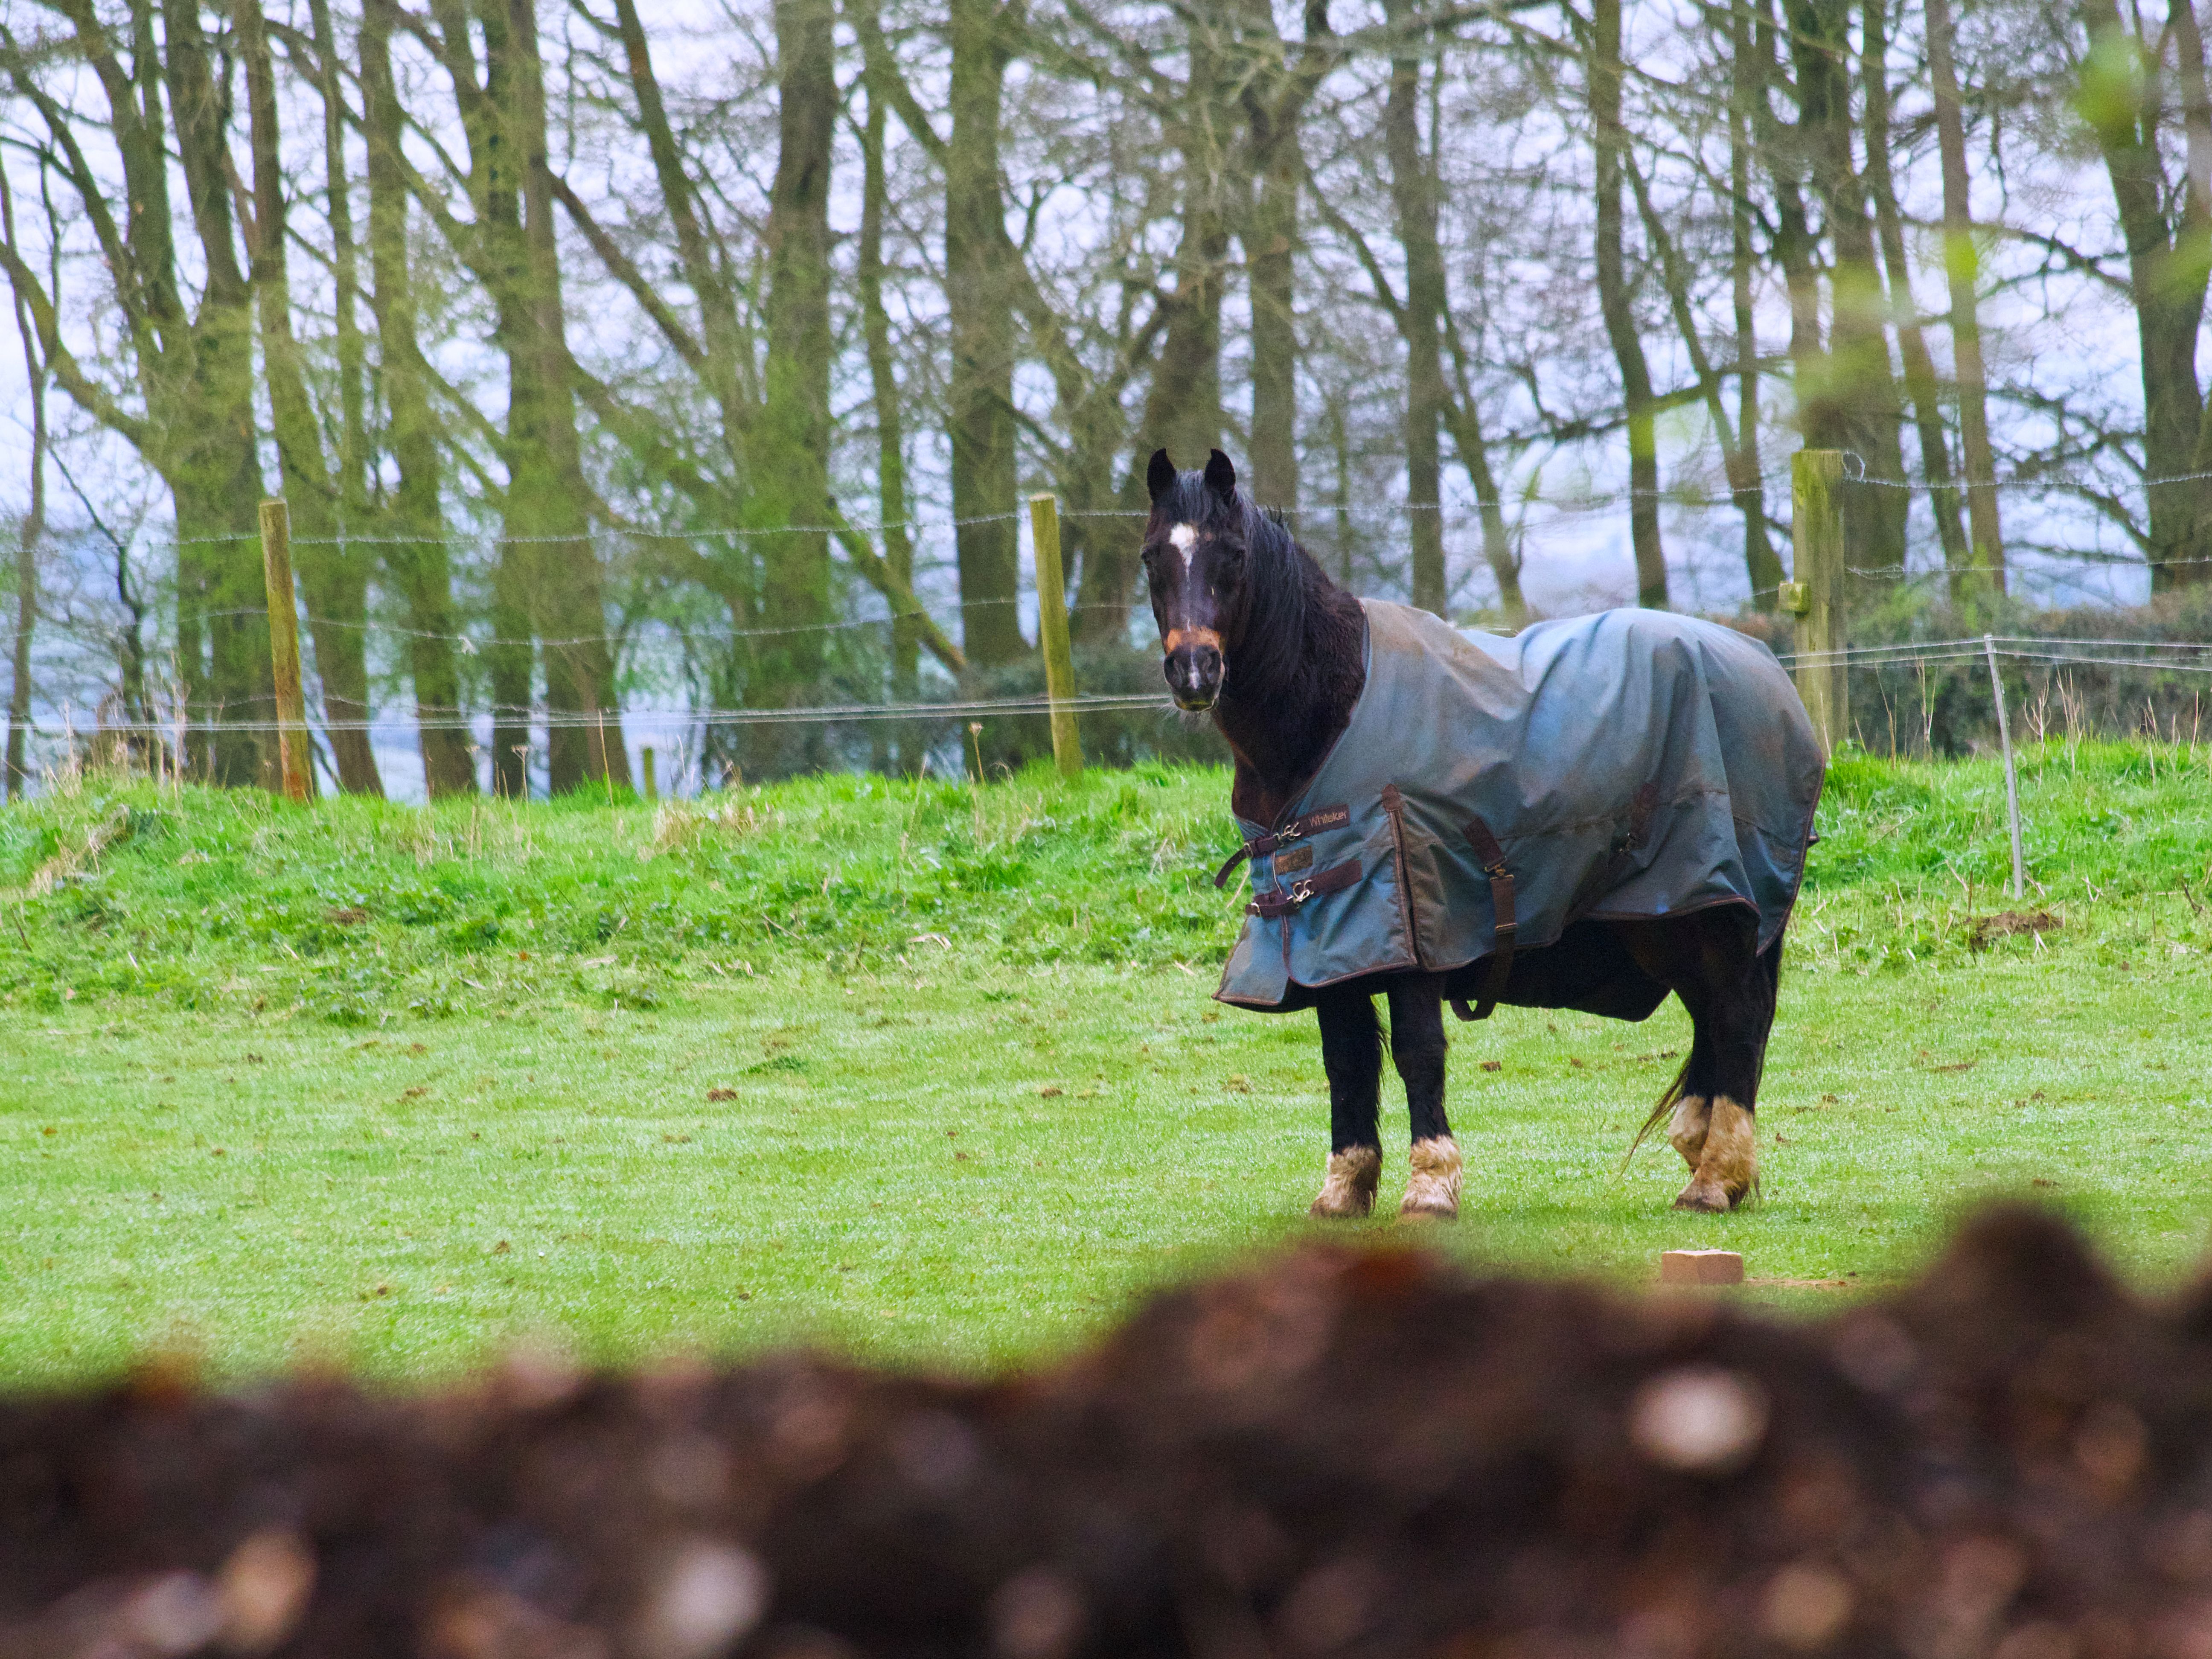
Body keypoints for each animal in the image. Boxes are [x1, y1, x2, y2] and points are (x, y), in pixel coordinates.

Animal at [1141, 447, 1824, 1220]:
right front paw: (1345, 1188)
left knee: (1737, 1015)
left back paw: (1716, 1177)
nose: (1193, 671)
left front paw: (1431, 1183)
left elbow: (1416, 1050)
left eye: (1230, 555)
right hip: (1668, 919)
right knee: (1713, 1013)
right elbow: (1345, 1057)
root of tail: (1764, 669)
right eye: (1151, 558)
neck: (1327, 713)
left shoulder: (1411, 930)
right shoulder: (1325, 939)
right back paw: (1707, 1158)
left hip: (1717, 912)